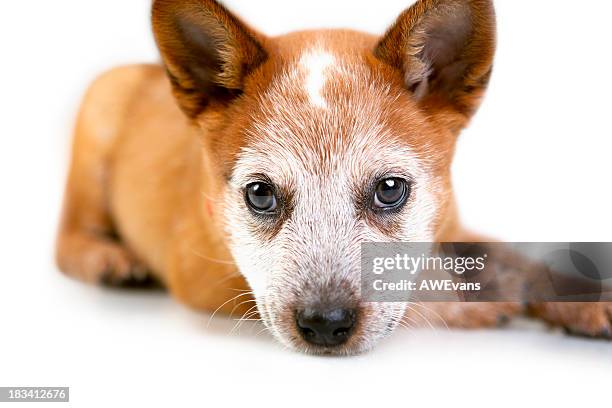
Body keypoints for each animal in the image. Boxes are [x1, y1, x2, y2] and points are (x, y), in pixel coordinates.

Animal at [55, 0, 608, 356]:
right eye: (260, 194)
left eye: (389, 189)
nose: (325, 325)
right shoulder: (201, 274)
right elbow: (416, 296)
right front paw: (474, 303)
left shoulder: (448, 228)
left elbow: (513, 258)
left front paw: (583, 297)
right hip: (96, 119)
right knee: (66, 239)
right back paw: (108, 259)